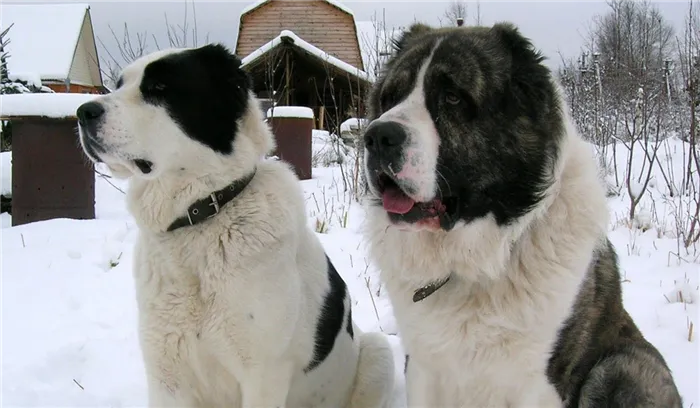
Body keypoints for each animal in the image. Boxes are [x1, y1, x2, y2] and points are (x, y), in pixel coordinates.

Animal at [77, 43, 396, 408]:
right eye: (118, 85)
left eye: (159, 88)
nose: (83, 111)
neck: (201, 216)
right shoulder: (167, 374)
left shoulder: (263, 375)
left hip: (377, 351)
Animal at [360, 22, 684, 408]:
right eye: (390, 97)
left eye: (452, 97)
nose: (377, 136)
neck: (477, 258)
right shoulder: (423, 368)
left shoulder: (536, 383)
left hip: (623, 364)